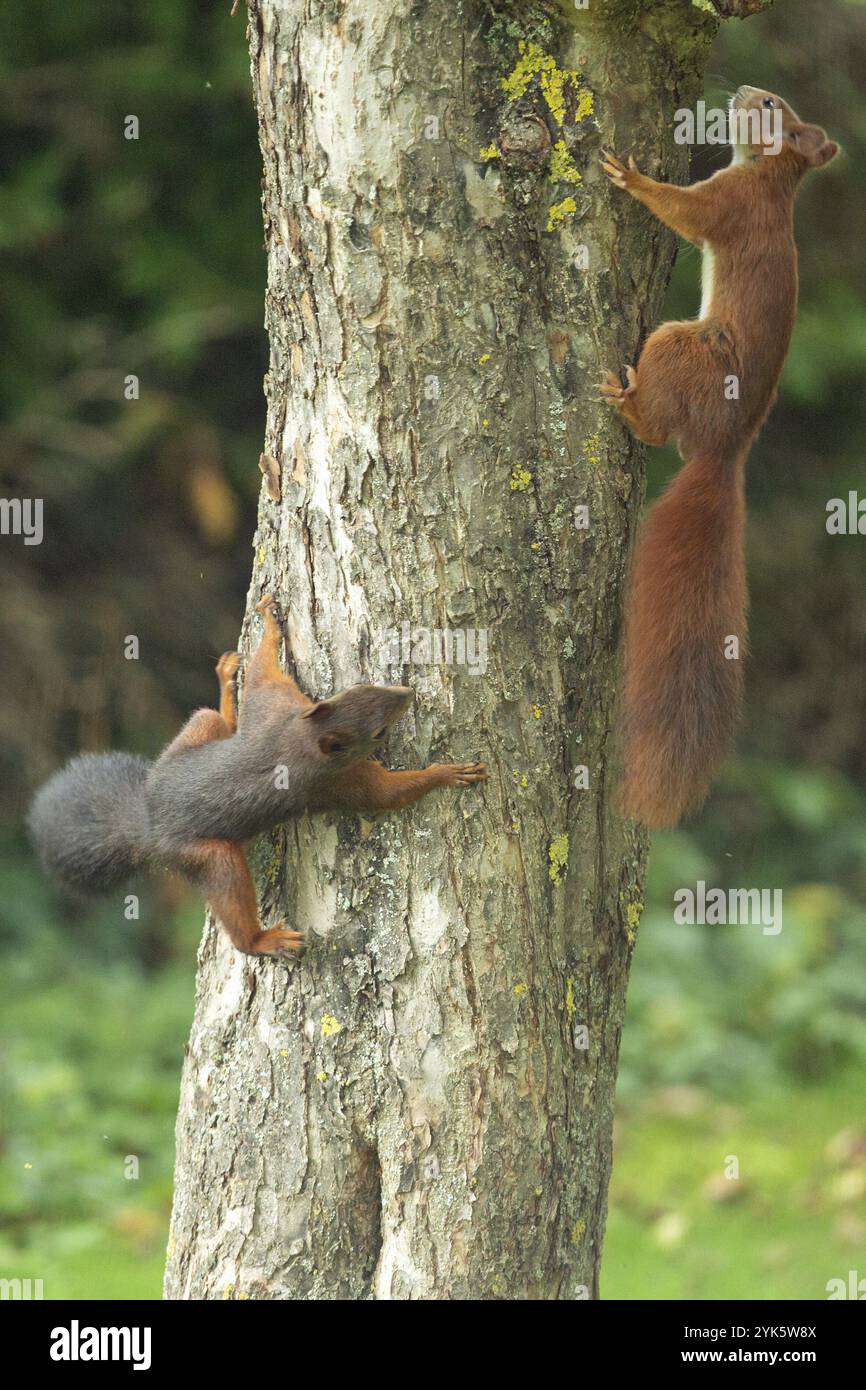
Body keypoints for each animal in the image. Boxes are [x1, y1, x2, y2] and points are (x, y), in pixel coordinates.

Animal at [29, 595, 488, 956]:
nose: (408, 693)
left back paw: (226, 685)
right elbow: (386, 795)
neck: (301, 734)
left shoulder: (277, 703)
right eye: (378, 732)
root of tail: (147, 821)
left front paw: (268, 619)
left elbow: (264, 672)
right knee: (233, 903)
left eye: (363, 687)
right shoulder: (335, 782)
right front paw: (447, 772)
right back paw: (262, 940)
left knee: (214, 717)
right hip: (205, 855)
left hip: (193, 736)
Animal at [599, 86, 838, 828]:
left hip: (682, 346)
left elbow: (685, 212)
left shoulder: (728, 203)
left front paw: (632, 178)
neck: (771, 177)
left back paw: (627, 405)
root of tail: (726, 450)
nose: (740, 93)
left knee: (656, 429)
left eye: (771, 104)